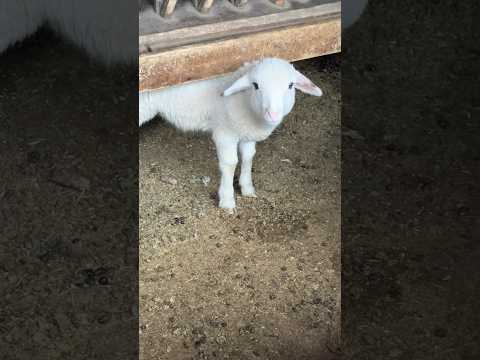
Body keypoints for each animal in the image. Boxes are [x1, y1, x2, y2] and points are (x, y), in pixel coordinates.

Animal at [139, 57, 322, 212]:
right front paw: (227, 200)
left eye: (291, 85)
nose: (273, 114)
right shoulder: (224, 133)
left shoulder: (246, 134)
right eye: (255, 85)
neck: (245, 102)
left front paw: (247, 188)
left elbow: (248, 157)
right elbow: (230, 163)